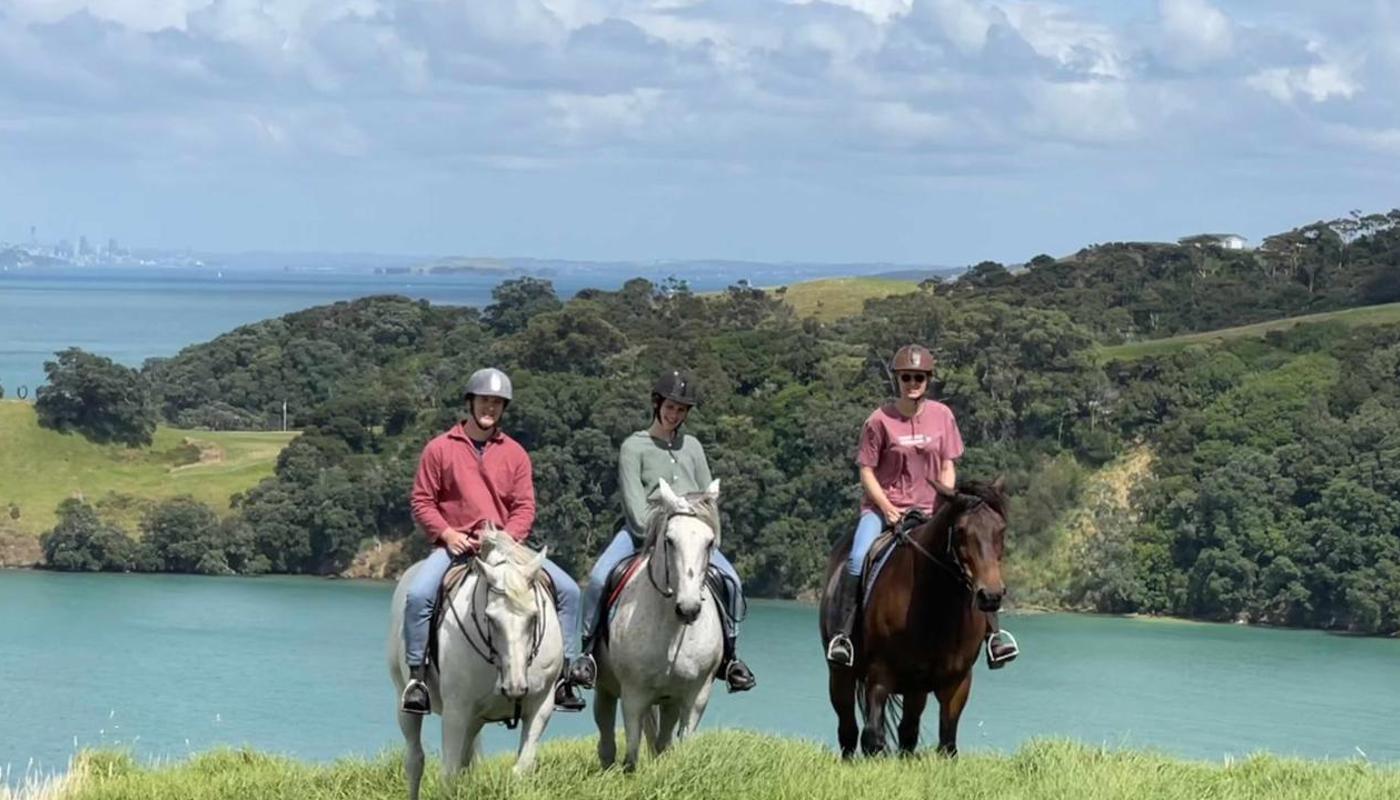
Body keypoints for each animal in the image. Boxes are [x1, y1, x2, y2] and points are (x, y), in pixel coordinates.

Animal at [383, 526, 562, 800]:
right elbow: (449, 775)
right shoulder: (456, 710)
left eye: (533, 617)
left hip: (475, 719)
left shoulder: (541, 706)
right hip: (405, 701)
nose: (515, 688)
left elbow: (522, 768)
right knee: (415, 760)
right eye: (490, 618)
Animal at [590, 479, 722, 773]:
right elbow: (631, 754)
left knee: (661, 740)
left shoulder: (695, 696)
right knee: (607, 734)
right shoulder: (633, 695)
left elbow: (680, 744)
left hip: (668, 700)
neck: (672, 630)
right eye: (670, 540)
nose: (689, 608)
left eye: (709, 542)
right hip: (606, 688)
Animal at [817, 479, 1008, 762]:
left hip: (915, 689)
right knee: (848, 730)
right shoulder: (880, 674)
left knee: (907, 730)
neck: (936, 609)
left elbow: (947, 743)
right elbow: (873, 737)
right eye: (961, 531)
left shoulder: (957, 681)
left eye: (1000, 530)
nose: (991, 595)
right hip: (841, 675)